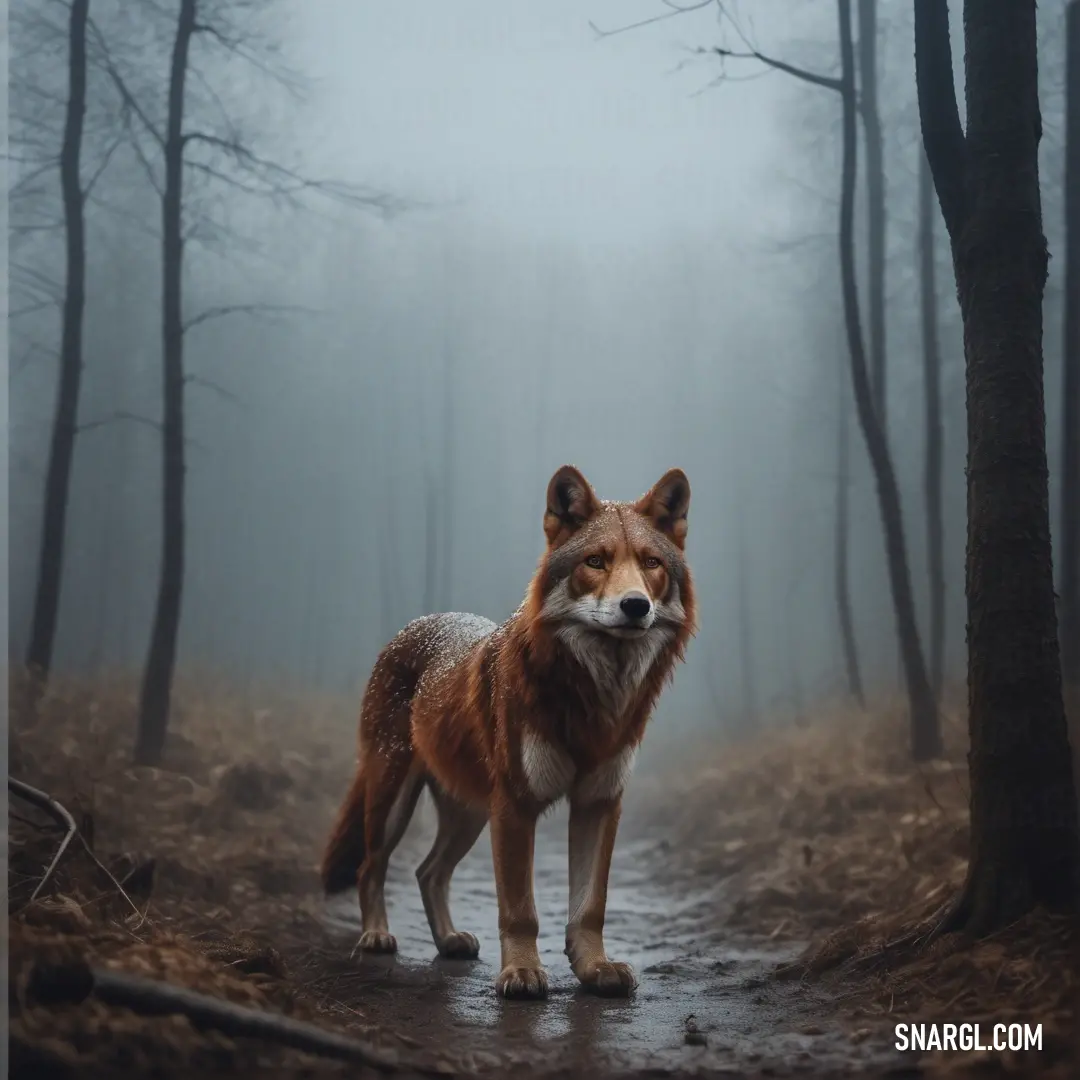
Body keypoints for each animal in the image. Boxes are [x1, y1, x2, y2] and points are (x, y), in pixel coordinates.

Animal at [317, 468, 691, 997]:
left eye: (651, 563)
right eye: (595, 562)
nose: (635, 605)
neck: (591, 692)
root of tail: (416, 624)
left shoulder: (598, 802)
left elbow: (590, 905)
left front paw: (595, 968)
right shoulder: (515, 805)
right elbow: (519, 908)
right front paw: (522, 972)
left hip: (471, 812)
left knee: (428, 872)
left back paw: (449, 939)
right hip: (397, 798)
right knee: (372, 867)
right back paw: (376, 936)